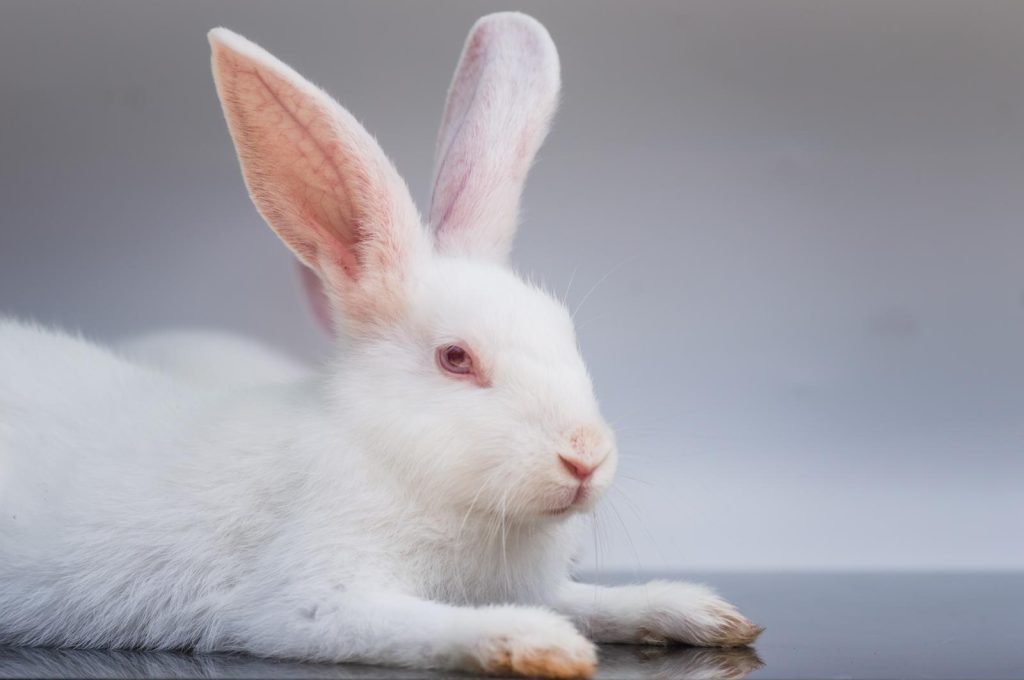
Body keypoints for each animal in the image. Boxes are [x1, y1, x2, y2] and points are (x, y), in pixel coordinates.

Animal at [0, 12, 762, 679]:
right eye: (456, 359)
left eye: (567, 335)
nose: (585, 457)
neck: (394, 457)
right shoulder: (311, 598)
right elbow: (417, 625)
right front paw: (539, 644)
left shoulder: (536, 582)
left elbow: (591, 602)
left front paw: (703, 613)